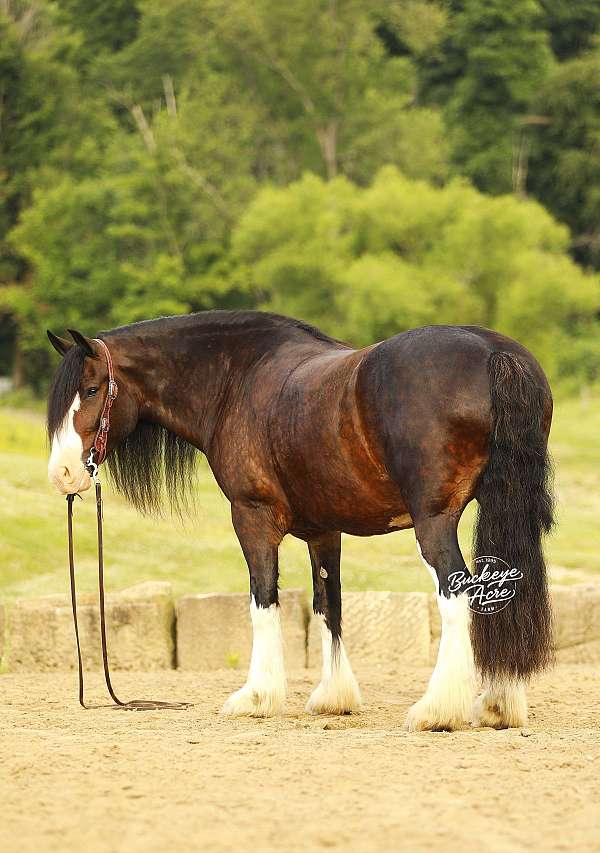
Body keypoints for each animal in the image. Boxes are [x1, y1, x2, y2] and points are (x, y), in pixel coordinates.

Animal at [46, 311, 554, 730]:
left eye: (91, 390)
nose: (64, 473)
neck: (235, 379)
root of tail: (494, 353)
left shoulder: (251, 517)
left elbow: (263, 600)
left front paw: (257, 697)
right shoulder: (323, 530)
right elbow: (328, 603)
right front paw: (334, 697)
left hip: (433, 522)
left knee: (457, 593)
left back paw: (437, 709)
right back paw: (498, 706)